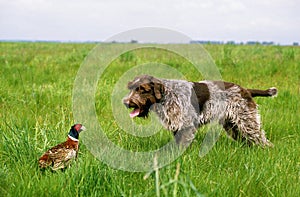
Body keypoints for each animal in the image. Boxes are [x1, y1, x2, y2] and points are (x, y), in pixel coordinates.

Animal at [123, 75, 278, 148]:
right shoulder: (177, 126)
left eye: (142, 90)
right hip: (233, 125)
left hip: (247, 122)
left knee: (262, 139)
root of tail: (245, 90)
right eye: (131, 88)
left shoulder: (186, 126)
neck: (167, 95)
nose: (126, 102)